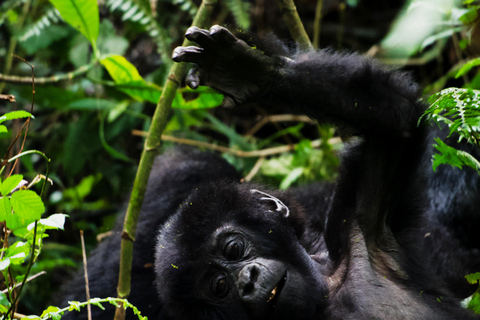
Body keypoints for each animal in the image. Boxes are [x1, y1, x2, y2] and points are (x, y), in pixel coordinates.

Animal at [57, 26, 480, 318]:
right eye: (219, 286)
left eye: (233, 248)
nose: (246, 281)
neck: (325, 292)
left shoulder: (364, 229)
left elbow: (397, 123)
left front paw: (253, 72)